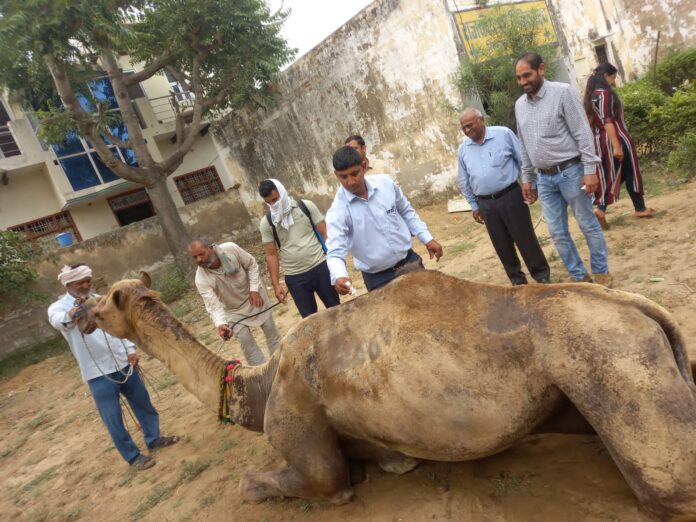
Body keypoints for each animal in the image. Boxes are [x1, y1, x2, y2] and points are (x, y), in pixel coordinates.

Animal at [79, 270, 696, 516]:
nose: (78, 315)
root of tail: (643, 309)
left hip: (607, 363)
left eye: (103, 302)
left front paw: (253, 484)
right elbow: (389, 460)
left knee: (668, 488)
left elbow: (309, 484)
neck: (256, 386)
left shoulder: (301, 430)